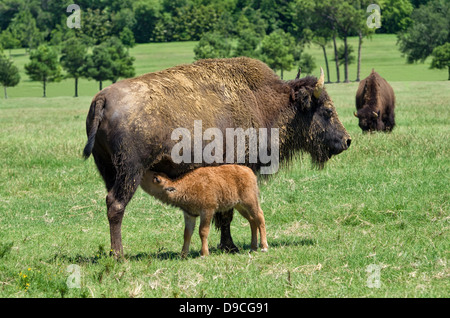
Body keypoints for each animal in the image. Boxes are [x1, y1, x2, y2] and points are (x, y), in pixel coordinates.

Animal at [83, 56, 352, 256]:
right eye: (327, 111)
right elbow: (227, 214)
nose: (347, 140)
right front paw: (229, 246)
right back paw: (118, 255)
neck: (262, 102)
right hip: (130, 171)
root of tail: (102, 99)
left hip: (109, 170)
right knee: (116, 204)